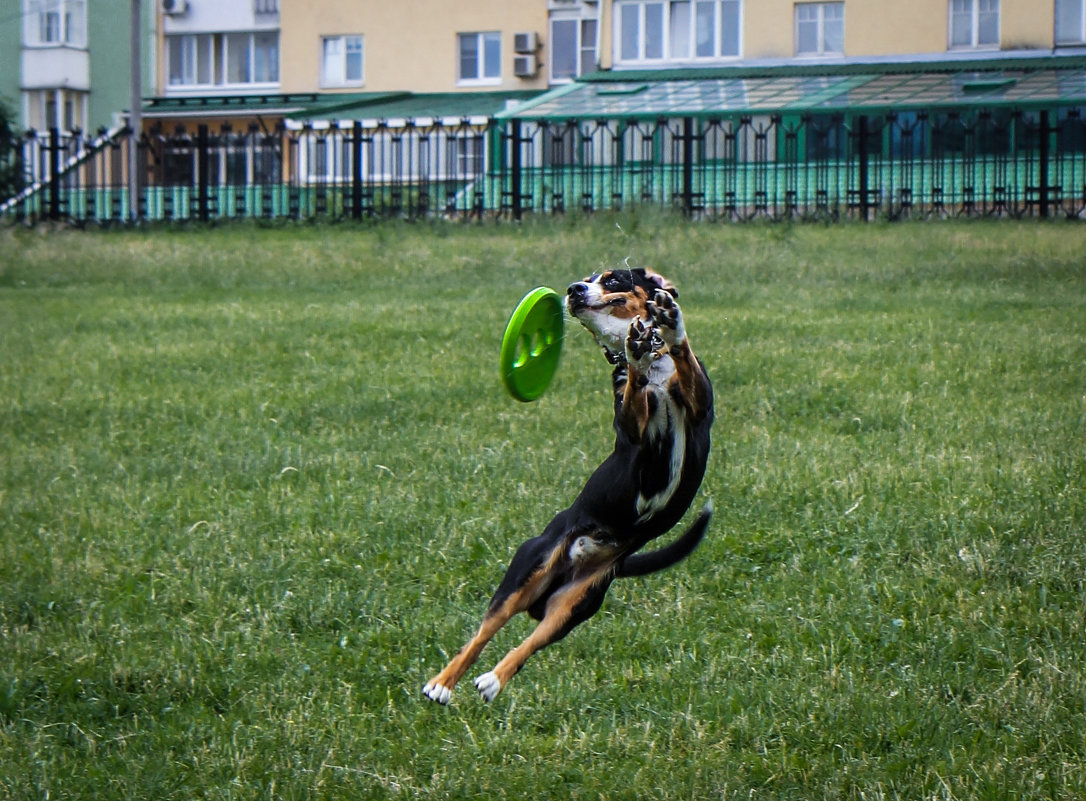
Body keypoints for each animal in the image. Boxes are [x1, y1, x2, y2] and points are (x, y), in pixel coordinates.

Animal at [421, 267, 712, 698]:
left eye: (612, 279)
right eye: (588, 278)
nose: (574, 289)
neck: (658, 372)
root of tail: (584, 552)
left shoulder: (698, 404)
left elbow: (683, 357)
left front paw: (670, 323)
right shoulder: (633, 427)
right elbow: (633, 388)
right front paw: (636, 351)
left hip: (576, 604)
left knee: (528, 645)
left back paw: (493, 680)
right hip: (527, 571)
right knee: (482, 633)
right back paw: (443, 683)